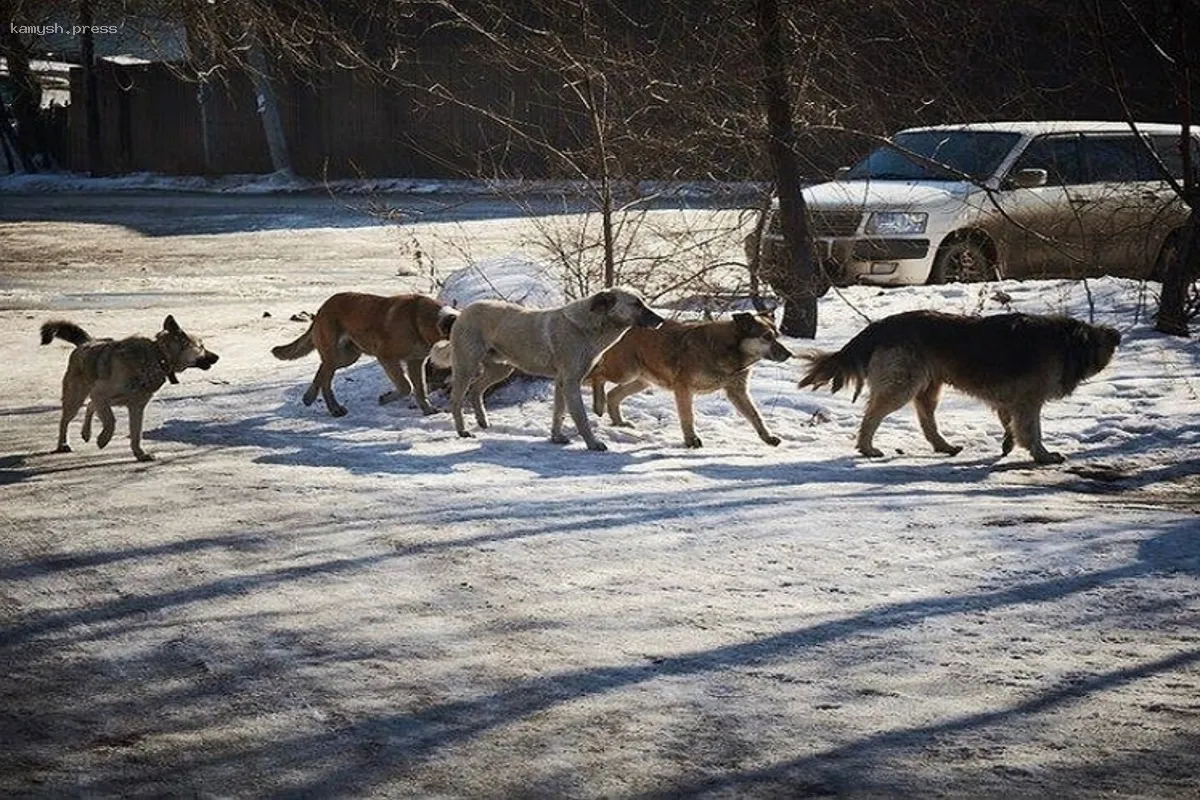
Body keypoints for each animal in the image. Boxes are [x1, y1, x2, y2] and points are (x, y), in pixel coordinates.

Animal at [42, 314, 222, 462]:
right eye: (201, 346)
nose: (218, 357)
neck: (158, 357)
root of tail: (87, 342)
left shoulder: (136, 407)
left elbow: (136, 434)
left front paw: (140, 454)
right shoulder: (101, 394)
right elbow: (111, 421)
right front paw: (103, 439)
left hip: (105, 400)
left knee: (91, 406)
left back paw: (86, 433)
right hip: (76, 398)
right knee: (65, 420)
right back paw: (62, 444)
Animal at [273, 293, 458, 419]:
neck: (422, 321)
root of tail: (323, 308)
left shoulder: (415, 362)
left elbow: (420, 389)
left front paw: (427, 410)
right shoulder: (386, 357)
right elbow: (406, 386)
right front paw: (384, 398)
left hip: (347, 356)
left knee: (322, 370)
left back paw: (309, 397)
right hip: (335, 354)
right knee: (326, 379)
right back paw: (334, 408)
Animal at [585, 314, 792, 450]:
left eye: (777, 335)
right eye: (767, 336)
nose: (790, 354)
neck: (732, 350)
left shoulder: (737, 391)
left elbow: (755, 416)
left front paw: (768, 437)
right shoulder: (683, 388)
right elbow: (687, 416)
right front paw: (691, 440)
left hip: (642, 379)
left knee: (613, 394)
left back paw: (619, 422)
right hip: (625, 371)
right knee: (597, 376)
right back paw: (598, 405)